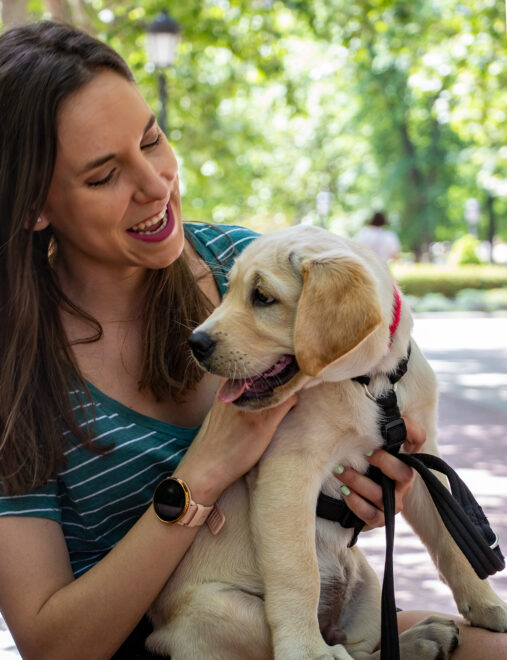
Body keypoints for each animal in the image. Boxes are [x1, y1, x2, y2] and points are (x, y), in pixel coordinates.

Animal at [148, 224, 507, 656]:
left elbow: (451, 540)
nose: (195, 344)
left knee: (365, 649)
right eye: (231, 289)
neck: (370, 382)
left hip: (367, 584)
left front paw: (488, 605)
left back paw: (420, 640)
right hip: (221, 609)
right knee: (337, 649)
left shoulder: (420, 456)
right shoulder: (289, 470)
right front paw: (306, 652)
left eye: (262, 297)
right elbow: (299, 572)